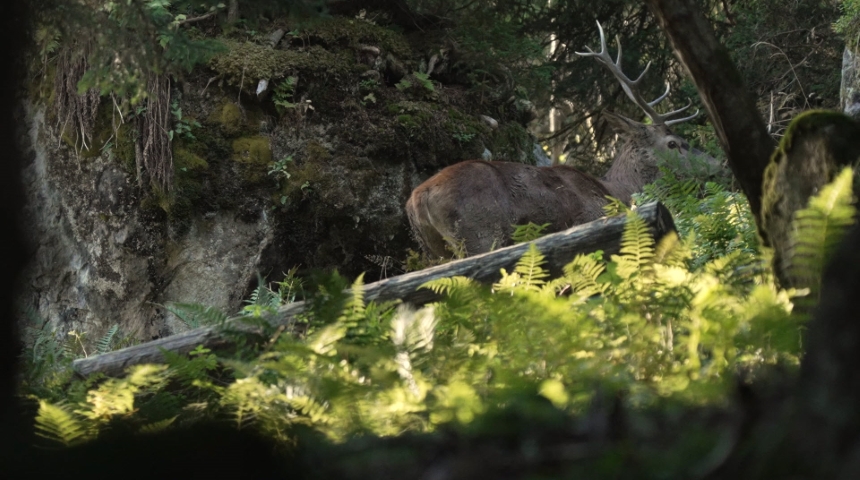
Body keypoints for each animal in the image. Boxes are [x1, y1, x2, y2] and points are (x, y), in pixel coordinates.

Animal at [406, 22, 715, 258]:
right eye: (673, 143)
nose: (715, 163)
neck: (618, 194)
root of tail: (418, 198)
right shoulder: (588, 224)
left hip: (434, 249)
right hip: (479, 233)